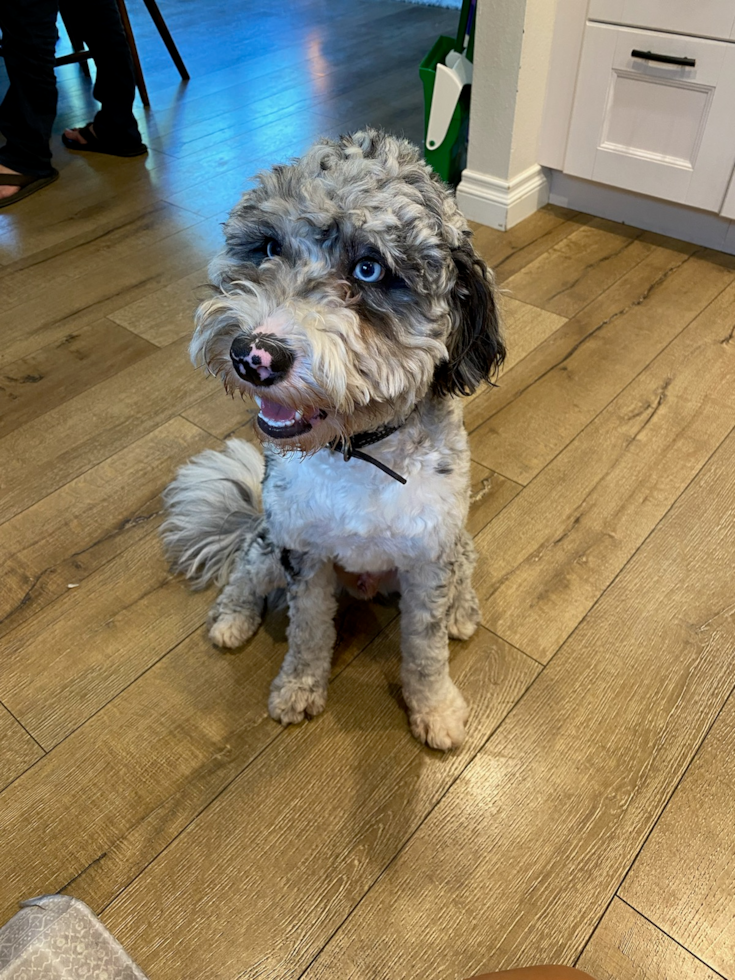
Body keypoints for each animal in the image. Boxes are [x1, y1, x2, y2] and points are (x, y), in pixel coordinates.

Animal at [161, 130, 506, 752]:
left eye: (369, 268)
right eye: (268, 247)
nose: (253, 355)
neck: (360, 452)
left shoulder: (428, 559)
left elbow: (425, 648)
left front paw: (435, 708)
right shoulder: (304, 551)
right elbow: (308, 631)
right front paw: (298, 688)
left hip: (453, 544)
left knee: (464, 571)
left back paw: (462, 611)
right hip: (269, 538)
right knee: (246, 569)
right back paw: (232, 620)